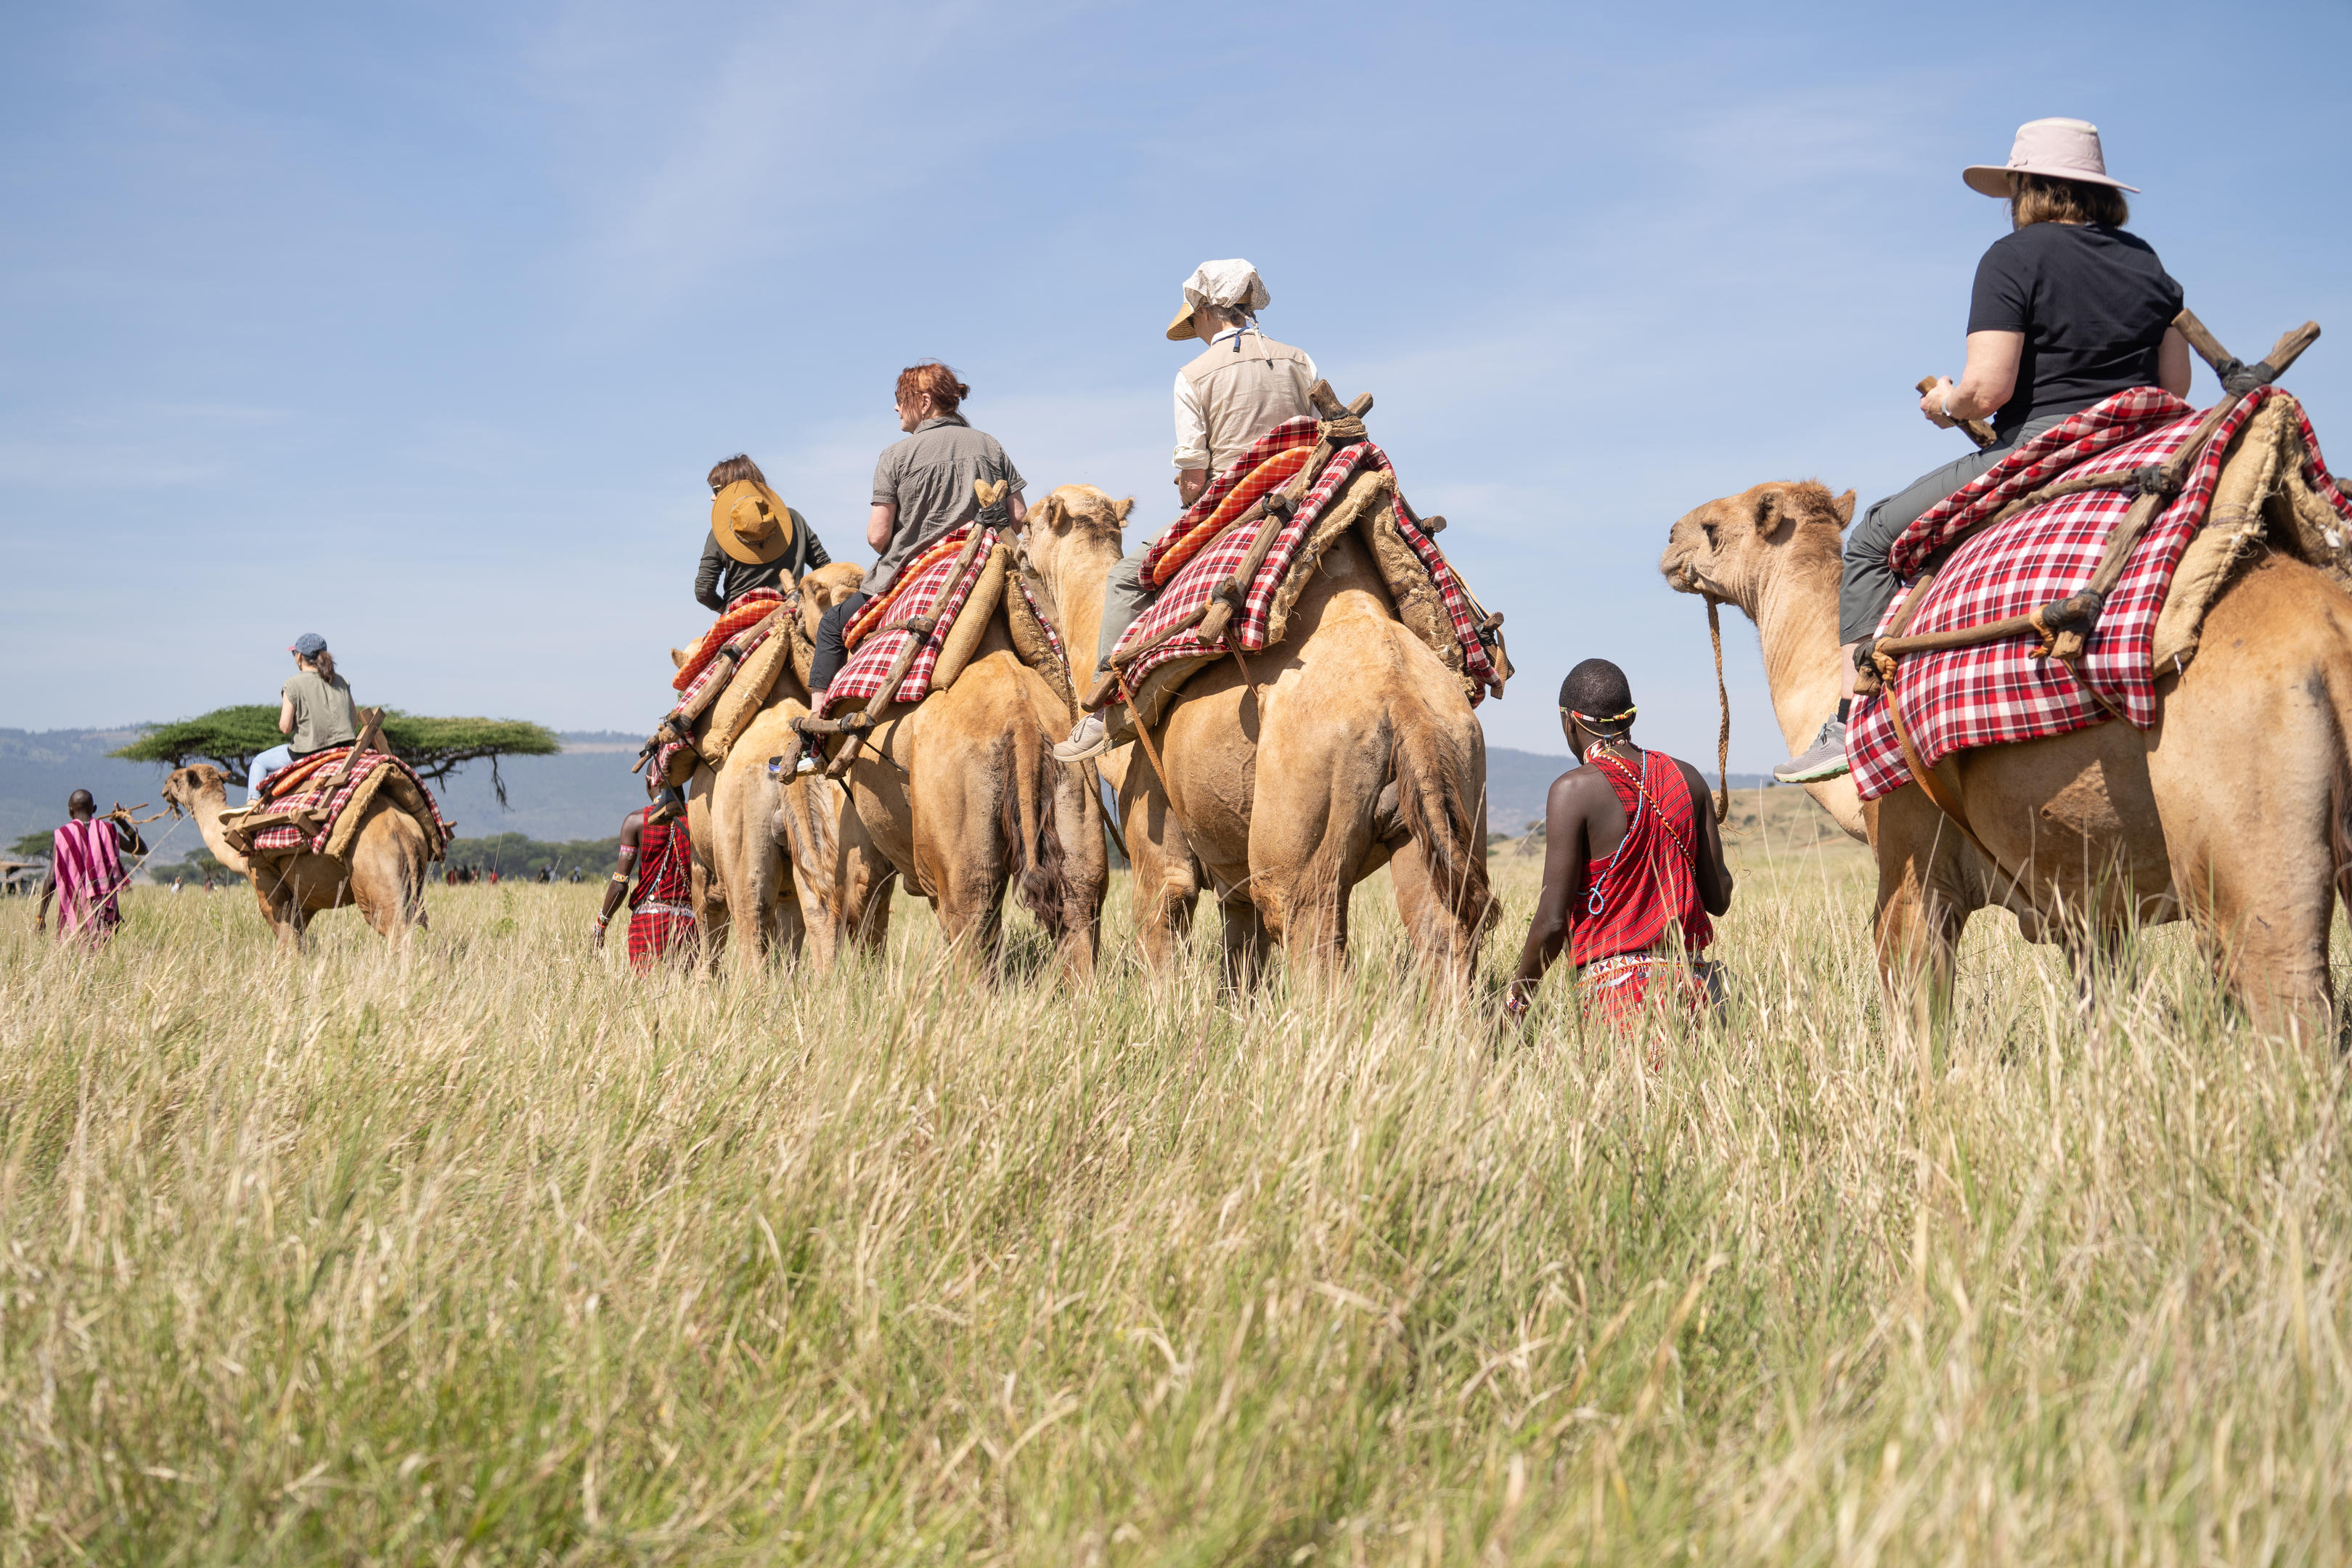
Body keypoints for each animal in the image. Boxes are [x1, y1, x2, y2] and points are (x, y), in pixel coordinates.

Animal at [161, 764, 432, 947]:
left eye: (176, 779)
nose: (164, 789)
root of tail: (401, 828)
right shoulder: (303, 896)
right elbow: (300, 937)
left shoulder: (265, 882)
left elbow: (286, 939)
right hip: (413, 875)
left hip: (374, 871)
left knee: (393, 926)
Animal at [1018, 483, 1496, 988]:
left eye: (1030, 521)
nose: (1018, 547)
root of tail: (1403, 702)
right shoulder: (1231, 869)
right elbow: (1242, 953)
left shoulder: (1151, 811)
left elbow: (1165, 911)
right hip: (1458, 772)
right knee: (1442, 929)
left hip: (1302, 812)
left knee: (1308, 929)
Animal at [1660, 478, 2352, 1042]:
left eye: (1715, 526)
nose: (1668, 539)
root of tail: (2329, 636)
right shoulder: (2090, 900)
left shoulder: (1914, 862)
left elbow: (1917, 1016)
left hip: (2247, 851)